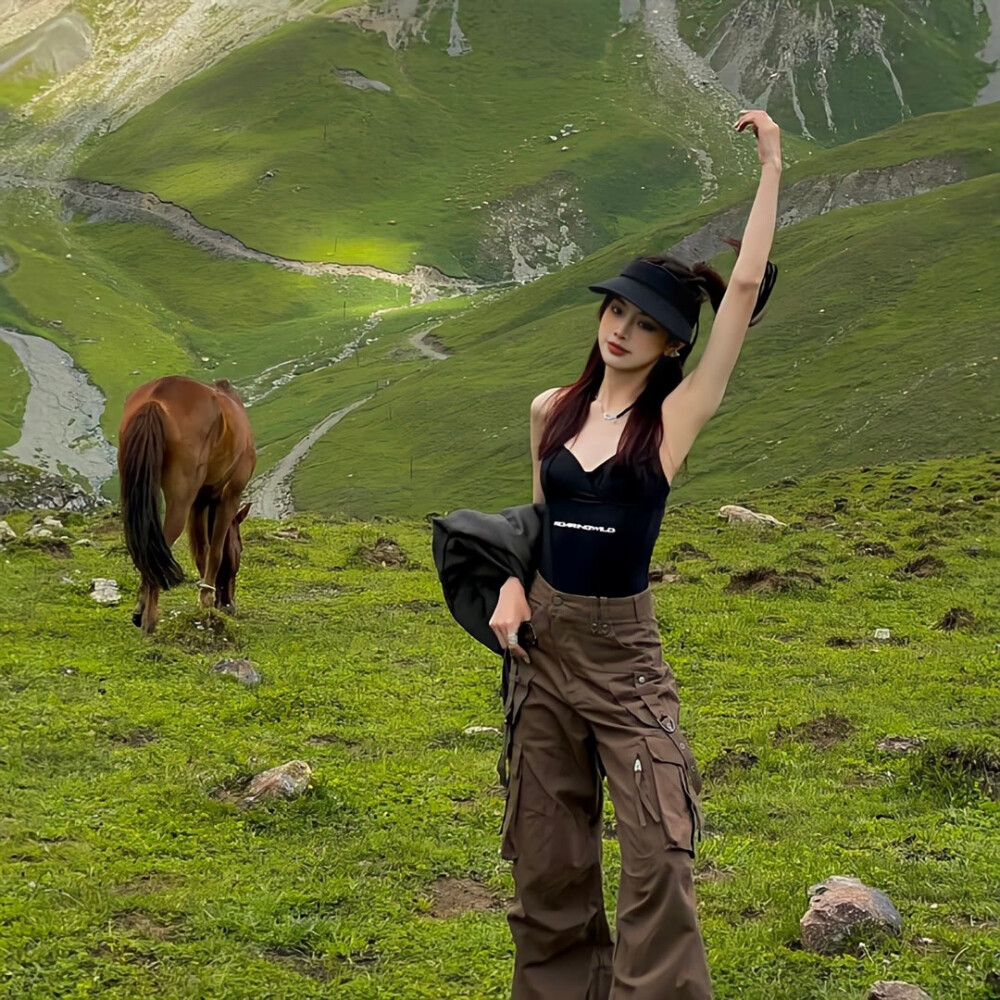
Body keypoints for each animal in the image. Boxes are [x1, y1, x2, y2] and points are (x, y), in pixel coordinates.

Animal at [118, 372, 258, 636]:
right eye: (241, 549)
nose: (229, 605)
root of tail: (156, 398)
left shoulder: (199, 503)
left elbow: (202, 552)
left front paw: (205, 598)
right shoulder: (229, 497)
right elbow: (215, 551)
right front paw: (207, 602)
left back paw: (141, 612)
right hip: (180, 501)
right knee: (156, 550)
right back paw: (150, 621)